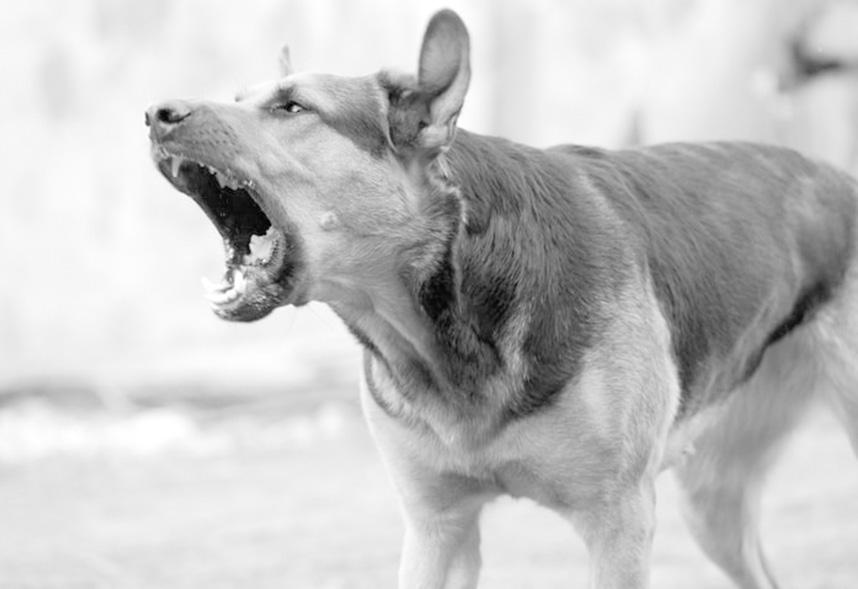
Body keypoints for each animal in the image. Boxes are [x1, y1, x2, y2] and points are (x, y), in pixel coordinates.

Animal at [146, 9, 858, 588]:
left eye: (293, 108)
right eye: (240, 98)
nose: (155, 114)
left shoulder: (620, 525)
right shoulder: (437, 528)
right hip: (712, 499)